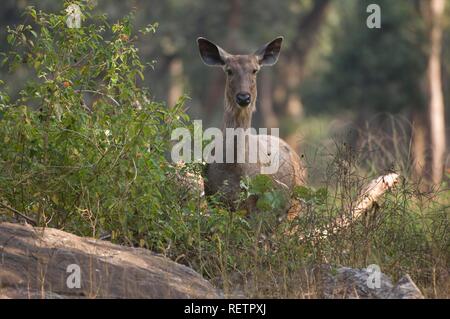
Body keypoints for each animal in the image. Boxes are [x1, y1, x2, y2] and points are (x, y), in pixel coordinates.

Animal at [198, 35, 308, 220]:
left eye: (255, 70)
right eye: (229, 70)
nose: (243, 97)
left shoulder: (257, 207)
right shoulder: (214, 200)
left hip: (295, 206)